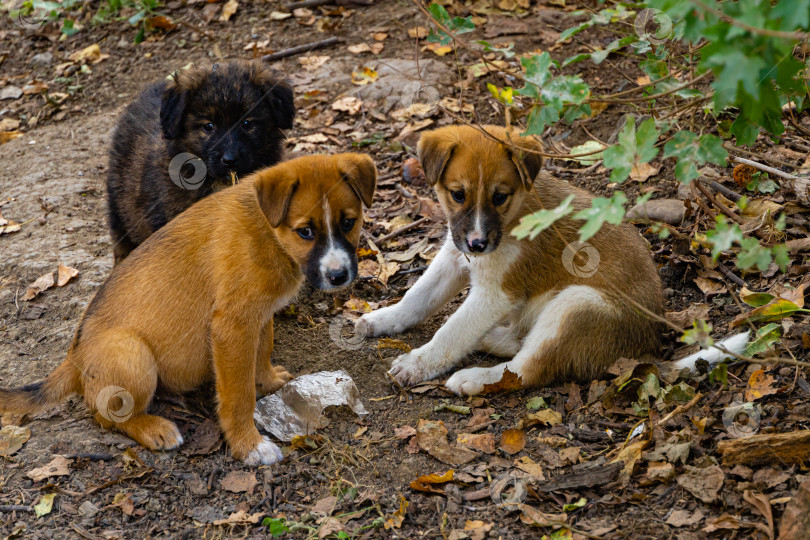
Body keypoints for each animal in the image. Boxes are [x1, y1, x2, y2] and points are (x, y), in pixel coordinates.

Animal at [0, 153, 376, 464]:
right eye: (305, 231)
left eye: (348, 222)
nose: (338, 276)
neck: (268, 231)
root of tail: (73, 359)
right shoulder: (231, 327)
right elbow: (238, 395)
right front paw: (249, 445)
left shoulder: (259, 314)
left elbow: (263, 348)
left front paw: (267, 379)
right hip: (131, 353)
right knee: (104, 415)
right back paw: (154, 429)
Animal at [356, 126, 664, 396]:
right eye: (458, 194)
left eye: (499, 197)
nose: (477, 244)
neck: (515, 214)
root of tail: (653, 336)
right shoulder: (453, 256)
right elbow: (417, 297)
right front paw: (385, 317)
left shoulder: (497, 293)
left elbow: (452, 331)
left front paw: (416, 364)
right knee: (521, 342)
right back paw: (488, 338)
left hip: (576, 302)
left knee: (527, 369)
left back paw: (474, 378)